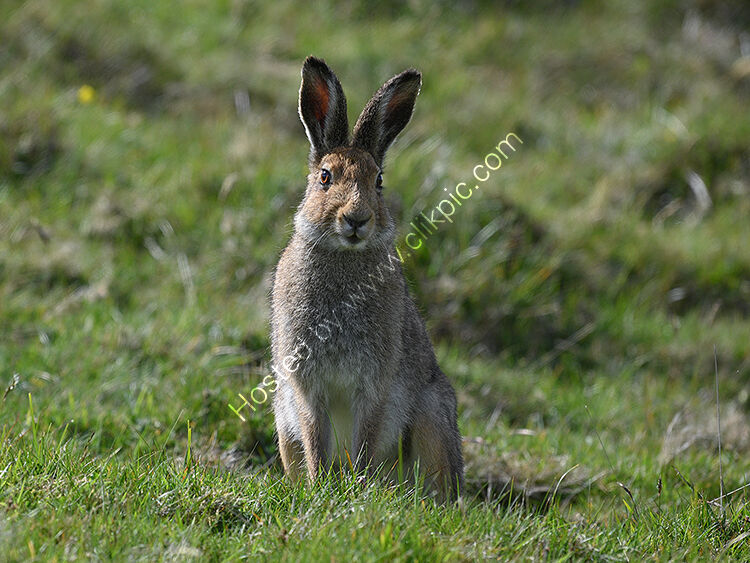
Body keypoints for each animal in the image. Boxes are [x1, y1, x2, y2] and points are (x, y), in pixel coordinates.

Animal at [270, 56, 464, 500]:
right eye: (325, 177)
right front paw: (320, 486)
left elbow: (365, 441)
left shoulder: (374, 385)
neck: (345, 258)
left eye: (378, 181)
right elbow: (315, 440)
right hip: (282, 418)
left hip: (431, 418)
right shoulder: (307, 386)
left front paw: (355, 487)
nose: (356, 219)